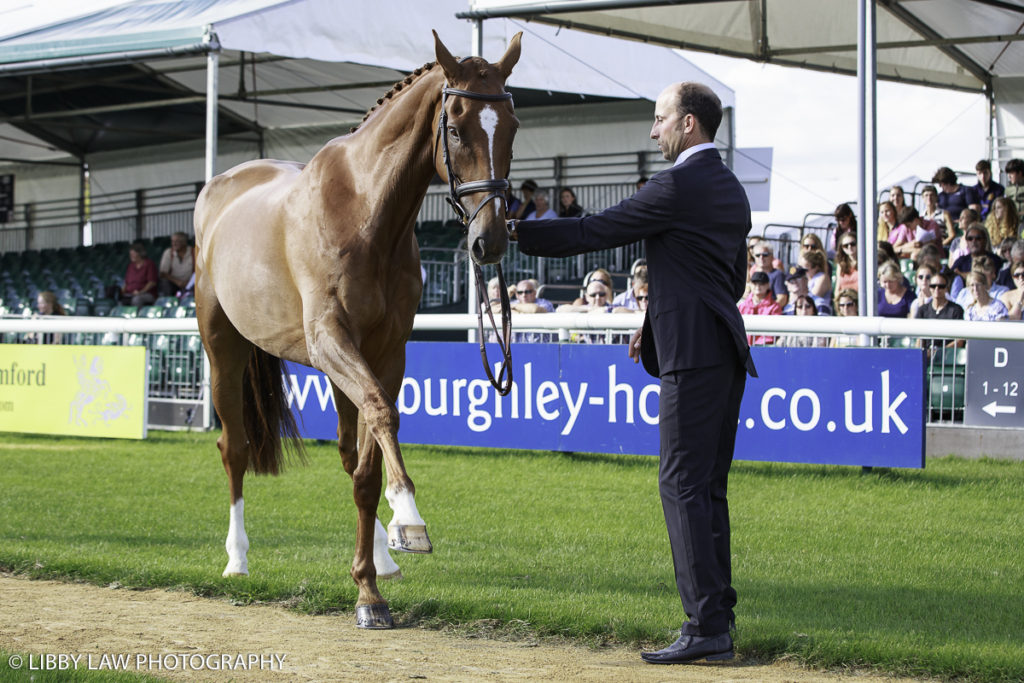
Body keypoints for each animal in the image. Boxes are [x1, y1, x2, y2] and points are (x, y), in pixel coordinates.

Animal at [195, 33, 524, 630]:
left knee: (350, 456)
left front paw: (371, 583)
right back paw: (237, 559)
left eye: (511, 125)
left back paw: (378, 559)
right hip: (224, 350)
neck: (365, 212)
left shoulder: (386, 353)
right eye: (456, 126)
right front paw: (409, 520)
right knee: (234, 447)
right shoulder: (332, 338)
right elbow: (381, 417)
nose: (489, 240)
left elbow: (370, 458)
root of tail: (220, 186)